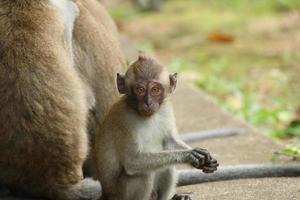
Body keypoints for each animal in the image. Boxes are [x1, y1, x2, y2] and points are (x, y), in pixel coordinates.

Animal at [94, 53, 218, 200]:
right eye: (140, 90)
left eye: (155, 90)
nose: (148, 102)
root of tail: (105, 194)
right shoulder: (123, 120)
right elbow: (132, 160)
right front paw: (188, 155)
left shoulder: (166, 108)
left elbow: (170, 141)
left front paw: (204, 160)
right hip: (119, 194)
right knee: (143, 173)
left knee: (167, 166)